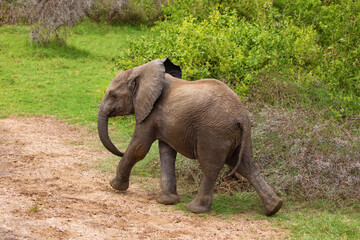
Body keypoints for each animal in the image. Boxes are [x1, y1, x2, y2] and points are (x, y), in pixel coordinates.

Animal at [97, 57, 282, 216]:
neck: (140, 71)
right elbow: (166, 152)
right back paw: (274, 208)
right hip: (241, 135)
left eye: (113, 95)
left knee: (210, 166)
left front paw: (115, 186)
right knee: (246, 165)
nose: (119, 151)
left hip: (214, 133)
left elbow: (138, 148)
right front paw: (167, 201)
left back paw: (195, 209)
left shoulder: (151, 113)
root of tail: (241, 117)